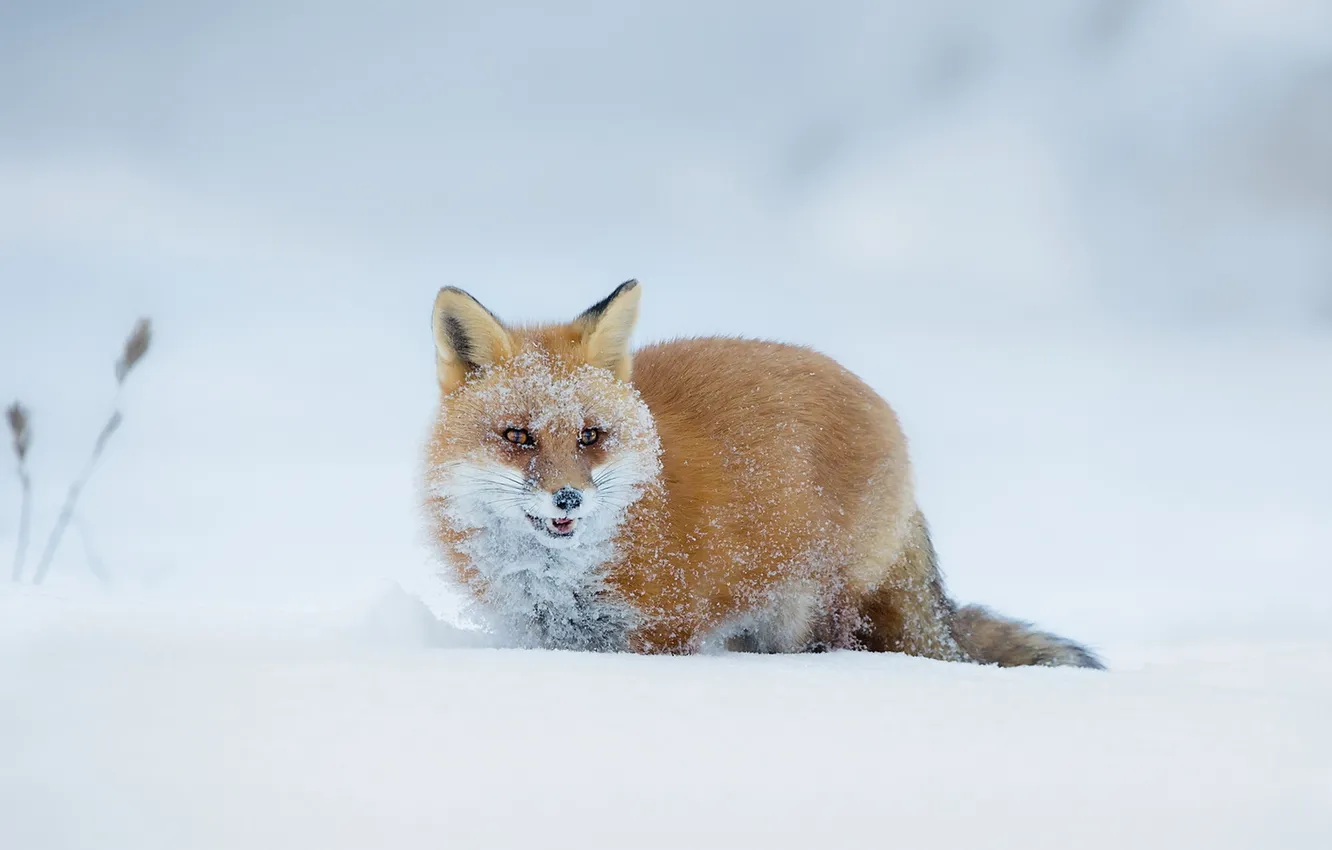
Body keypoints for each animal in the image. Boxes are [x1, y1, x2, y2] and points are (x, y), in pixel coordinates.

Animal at [426, 282, 1102, 668]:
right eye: (518, 437)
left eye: (590, 436)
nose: (568, 498)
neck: (559, 583)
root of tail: (880, 406)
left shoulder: (662, 633)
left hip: (809, 614)